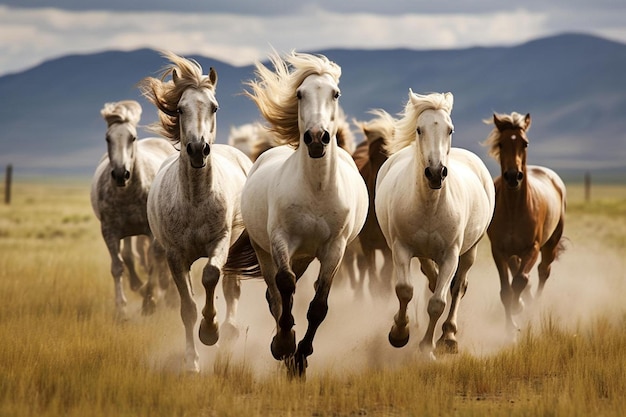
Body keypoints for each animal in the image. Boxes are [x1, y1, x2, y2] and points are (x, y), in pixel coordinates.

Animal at [89, 100, 176, 318]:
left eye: (132, 137)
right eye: (108, 138)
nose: (121, 174)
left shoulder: (151, 231)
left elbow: (154, 261)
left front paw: (149, 302)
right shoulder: (110, 231)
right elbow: (118, 266)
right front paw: (121, 308)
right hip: (127, 231)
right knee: (129, 256)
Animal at [139, 50, 258, 372]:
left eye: (214, 107)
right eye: (180, 109)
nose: (197, 149)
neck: (194, 200)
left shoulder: (220, 243)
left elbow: (210, 276)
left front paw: (211, 331)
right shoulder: (174, 256)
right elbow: (188, 308)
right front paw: (192, 361)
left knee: (230, 288)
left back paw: (228, 329)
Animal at [239, 50, 366, 376]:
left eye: (335, 93)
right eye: (299, 94)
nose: (317, 137)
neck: (316, 190)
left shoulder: (334, 248)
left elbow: (318, 306)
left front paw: (301, 359)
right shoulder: (281, 240)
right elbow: (285, 286)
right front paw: (284, 346)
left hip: (307, 255)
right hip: (265, 250)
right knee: (275, 294)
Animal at [372, 91, 494, 358]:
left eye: (450, 129)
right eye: (419, 129)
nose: (436, 172)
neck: (430, 204)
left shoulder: (451, 255)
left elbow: (438, 302)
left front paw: (427, 347)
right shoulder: (401, 248)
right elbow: (405, 290)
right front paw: (399, 334)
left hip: (470, 250)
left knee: (458, 287)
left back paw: (449, 336)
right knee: (430, 273)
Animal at [480, 110, 564, 334]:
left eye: (525, 143)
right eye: (501, 144)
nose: (513, 176)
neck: (514, 209)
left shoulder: (532, 248)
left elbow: (520, 280)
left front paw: (520, 307)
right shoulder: (498, 250)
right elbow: (506, 290)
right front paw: (510, 328)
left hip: (550, 244)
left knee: (543, 271)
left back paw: (534, 305)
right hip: (513, 253)